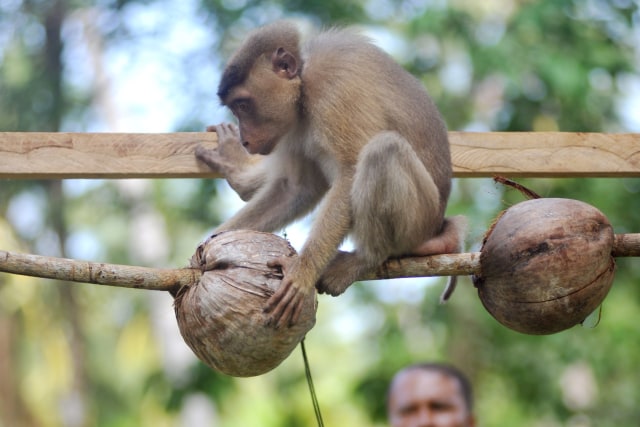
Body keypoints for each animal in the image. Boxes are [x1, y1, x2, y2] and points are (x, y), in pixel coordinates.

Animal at [195, 21, 464, 330]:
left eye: (242, 105)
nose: (246, 140)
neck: (303, 85)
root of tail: (436, 225)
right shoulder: (291, 126)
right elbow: (296, 188)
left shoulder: (332, 88)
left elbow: (349, 170)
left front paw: (302, 271)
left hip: (420, 218)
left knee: (383, 150)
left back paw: (367, 258)